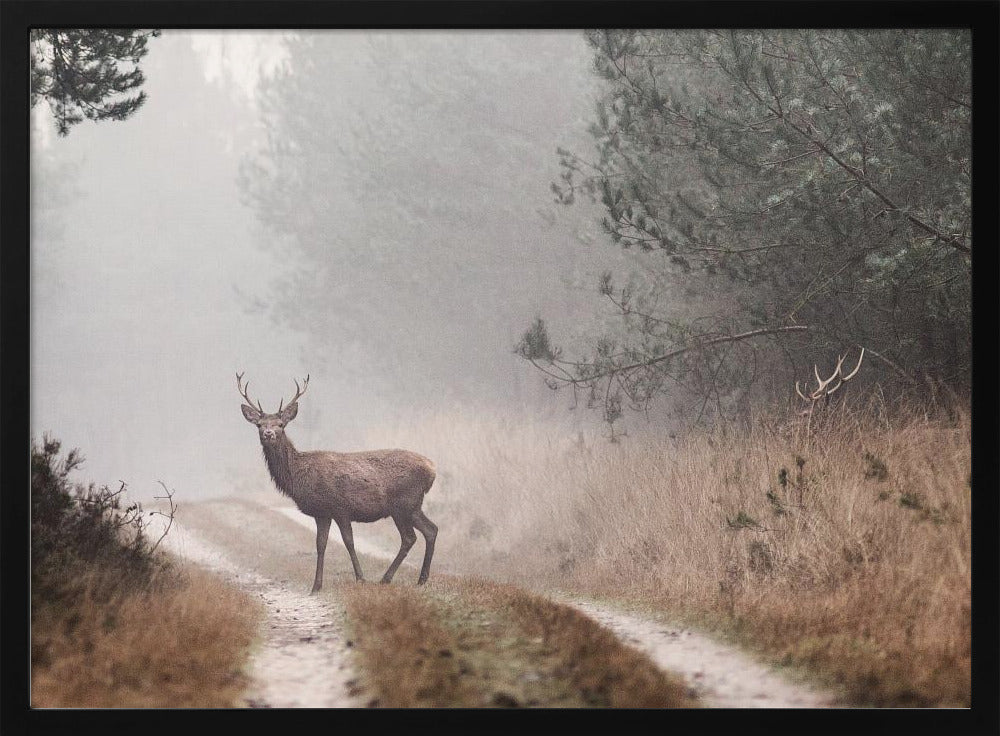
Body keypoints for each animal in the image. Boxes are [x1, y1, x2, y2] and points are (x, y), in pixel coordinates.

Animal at [237, 372, 438, 592]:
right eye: (259, 424)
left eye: (281, 424)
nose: (268, 434)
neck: (298, 477)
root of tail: (432, 469)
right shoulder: (322, 513)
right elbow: (320, 545)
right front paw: (316, 586)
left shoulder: (340, 507)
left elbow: (348, 542)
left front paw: (360, 578)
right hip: (413, 505)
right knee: (431, 530)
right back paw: (421, 579)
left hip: (403, 504)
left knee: (410, 537)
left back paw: (387, 578)